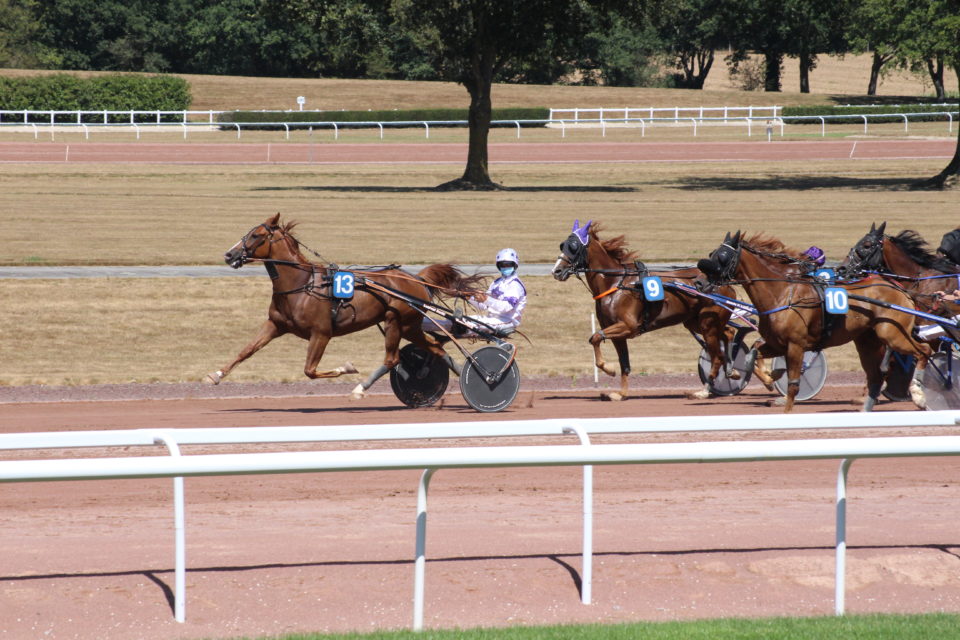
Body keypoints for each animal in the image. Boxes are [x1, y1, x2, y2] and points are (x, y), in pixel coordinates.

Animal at [207, 212, 484, 398]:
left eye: (257, 235)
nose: (229, 255)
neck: (302, 285)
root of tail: (417, 278)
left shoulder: (321, 333)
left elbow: (310, 370)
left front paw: (347, 368)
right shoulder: (276, 325)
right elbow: (246, 350)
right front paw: (216, 375)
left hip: (396, 321)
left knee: (392, 358)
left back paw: (360, 388)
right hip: (410, 326)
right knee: (436, 347)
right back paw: (466, 376)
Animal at [552, 220, 732, 400]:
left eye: (573, 246)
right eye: (563, 245)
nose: (556, 271)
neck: (615, 283)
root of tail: (723, 283)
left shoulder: (628, 326)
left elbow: (595, 337)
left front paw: (609, 369)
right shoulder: (617, 332)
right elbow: (623, 362)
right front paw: (621, 393)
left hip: (708, 324)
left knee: (717, 355)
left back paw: (706, 389)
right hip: (695, 322)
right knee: (728, 333)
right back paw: (731, 370)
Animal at [696, 232, 928, 412]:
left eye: (723, 257)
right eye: (712, 254)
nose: (698, 282)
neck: (783, 293)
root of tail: (900, 288)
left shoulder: (796, 345)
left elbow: (793, 385)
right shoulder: (778, 344)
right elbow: (752, 354)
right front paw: (771, 377)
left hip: (893, 333)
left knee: (923, 351)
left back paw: (918, 394)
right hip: (867, 341)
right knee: (877, 375)